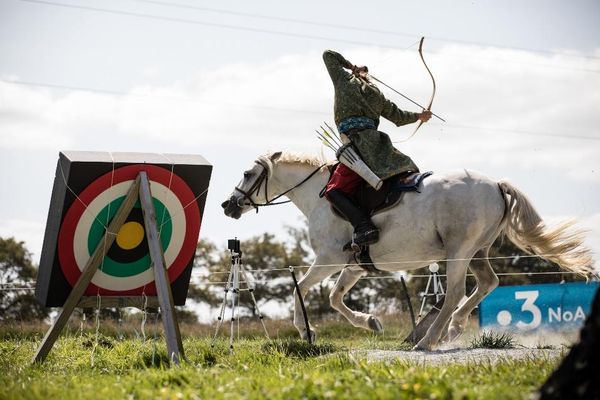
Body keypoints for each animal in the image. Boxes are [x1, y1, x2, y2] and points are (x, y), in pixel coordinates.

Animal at [223, 152, 592, 348]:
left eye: (247, 173)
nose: (228, 206)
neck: (320, 195)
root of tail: (496, 184)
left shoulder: (328, 260)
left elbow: (299, 288)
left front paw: (306, 331)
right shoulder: (353, 265)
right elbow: (335, 298)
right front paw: (370, 322)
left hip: (458, 250)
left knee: (455, 291)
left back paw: (428, 340)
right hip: (477, 251)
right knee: (488, 283)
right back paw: (452, 329)